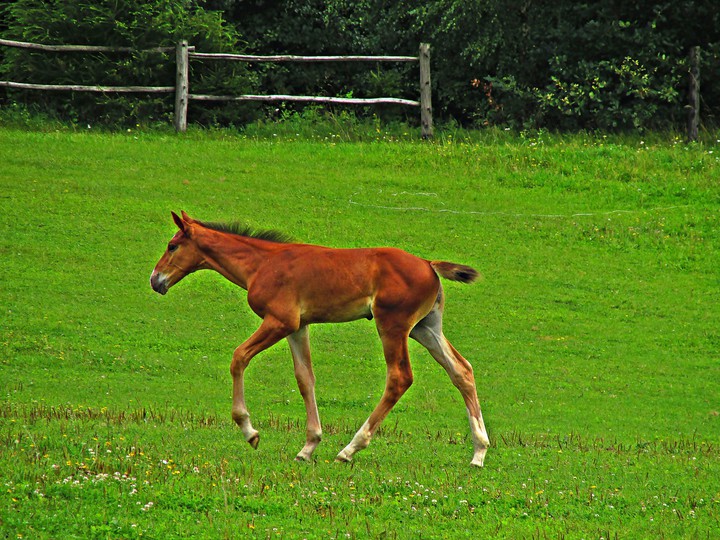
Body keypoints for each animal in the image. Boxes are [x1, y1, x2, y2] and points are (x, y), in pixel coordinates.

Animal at [151, 211, 490, 464]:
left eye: (172, 245)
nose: (156, 280)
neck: (261, 263)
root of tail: (429, 265)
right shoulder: (297, 326)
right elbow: (305, 378)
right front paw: (308, 446)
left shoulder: (279, 321)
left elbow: (239, 357)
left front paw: (250, 431)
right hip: (425, 327)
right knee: (462, 371)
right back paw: (479, 452)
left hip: (393, 325)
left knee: (400, 377)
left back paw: (350, 449)